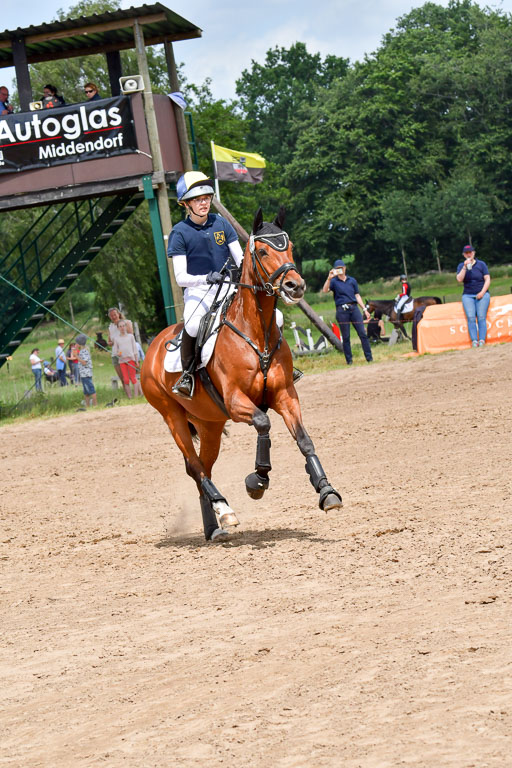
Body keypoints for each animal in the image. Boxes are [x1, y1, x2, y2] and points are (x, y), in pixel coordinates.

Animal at [141, 207, 342, 542]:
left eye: (289, 247)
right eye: (262, 251)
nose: (295, 286)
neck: (255, 332)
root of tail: (153, 347)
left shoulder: (285, 395)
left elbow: (304, 440)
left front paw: (326, 490)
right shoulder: (236, 402)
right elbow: (263, 424)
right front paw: (257, 481)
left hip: (209, 424)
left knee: (203, 467)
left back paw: (214, 527)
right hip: (172, 417)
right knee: (195, 466)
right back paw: (225, 509)